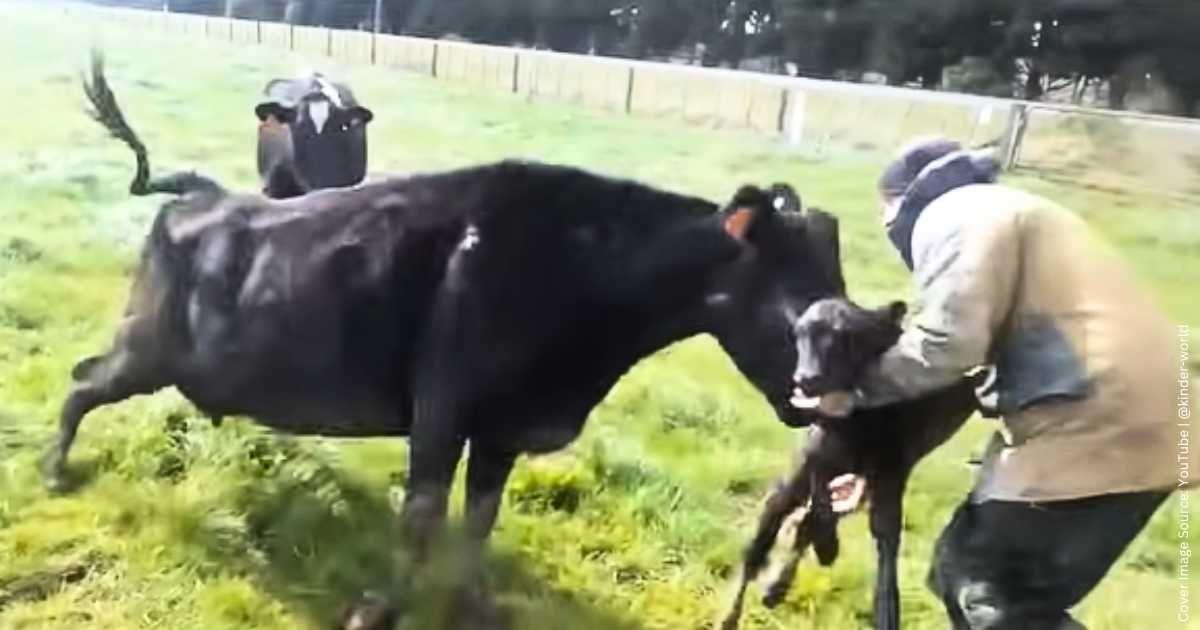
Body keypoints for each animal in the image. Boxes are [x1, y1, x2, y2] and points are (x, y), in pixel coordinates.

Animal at [50, 53, 846, 619]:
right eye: (801, 308)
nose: (825, 400)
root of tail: (202, 195)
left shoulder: (500, 431)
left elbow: (476, 527)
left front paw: (472, 605)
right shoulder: (441, 413)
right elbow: (422, 520)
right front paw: (378, 611)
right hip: (146, 347)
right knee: (83, 381)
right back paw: (55, 472)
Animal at [720, 298, 979, 630]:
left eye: (849, 337)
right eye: (798, 334)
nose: (805, 380)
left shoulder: (893, 469)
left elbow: (885, 539)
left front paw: (886, 612)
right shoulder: (816, 450)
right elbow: (816, 495)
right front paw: (827, 547)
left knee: (804, 523)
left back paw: (776, 588)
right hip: (796, 488)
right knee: (760, 544)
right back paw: (734, 613)